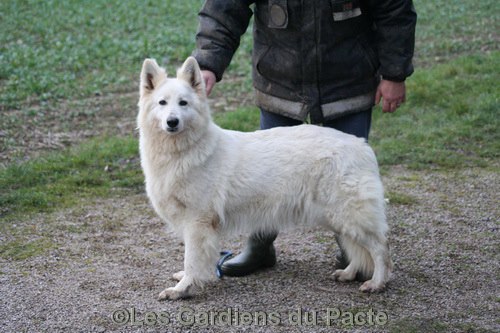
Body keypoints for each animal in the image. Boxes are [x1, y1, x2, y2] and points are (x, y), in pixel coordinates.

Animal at [139, 55, 392, 300]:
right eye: (162, 103)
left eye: (183, 103)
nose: (172, 122)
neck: (184, 151)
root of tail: (361, 144)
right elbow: (195, 260)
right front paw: (188, 280)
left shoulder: (197, 222)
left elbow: (191, 259)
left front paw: (182, 289)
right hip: (338, 218)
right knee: (357, 248)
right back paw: (349, 273)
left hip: (348, 214)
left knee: (379, 248)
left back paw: (376, 283)